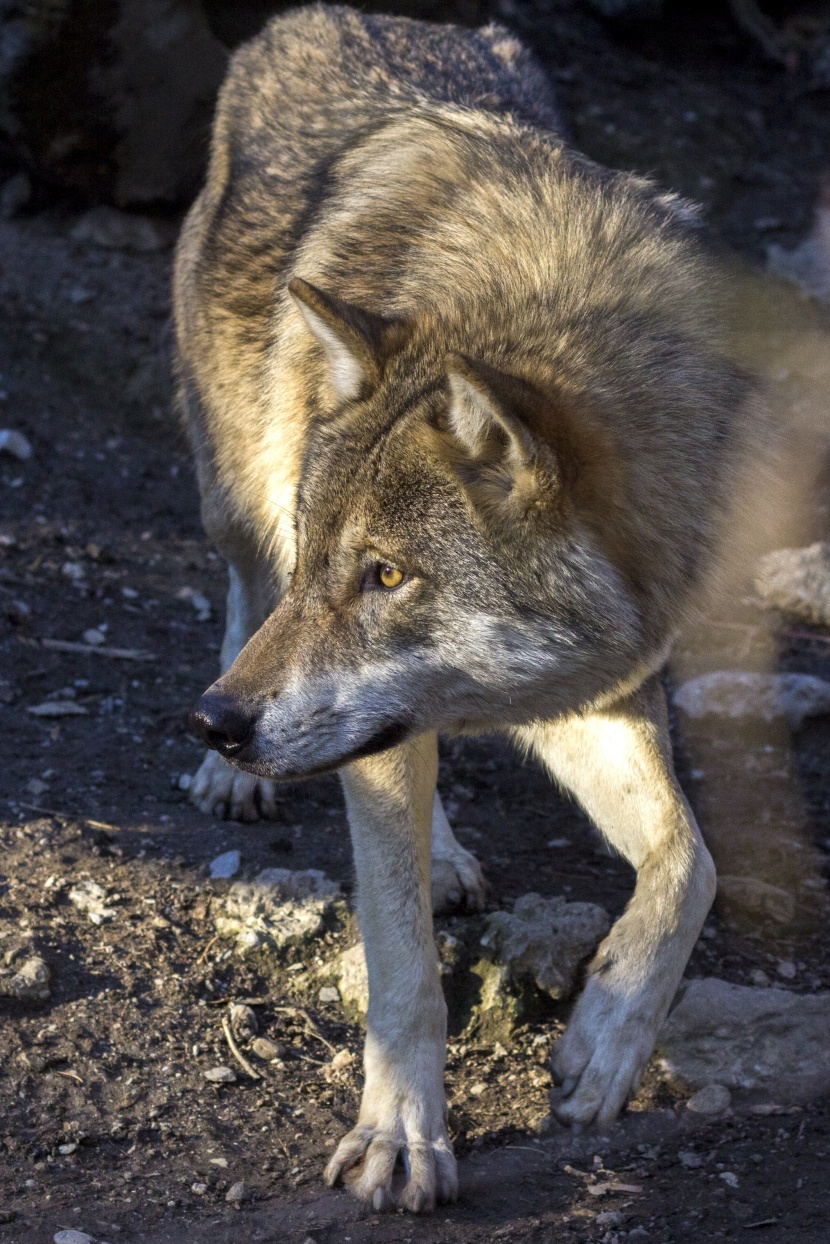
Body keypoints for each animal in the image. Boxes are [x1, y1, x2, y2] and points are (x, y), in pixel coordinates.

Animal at [174, 2, 751, 1214]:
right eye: (330, 560)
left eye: (386, 576)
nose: (215, 721)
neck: (537, 297)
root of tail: (331, 17)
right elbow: (400, 960)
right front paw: (402, 1138)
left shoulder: (598, 685)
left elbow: (691, 865)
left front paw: (606, 1041)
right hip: (229, 487)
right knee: (243, 584)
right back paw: (236, 781)